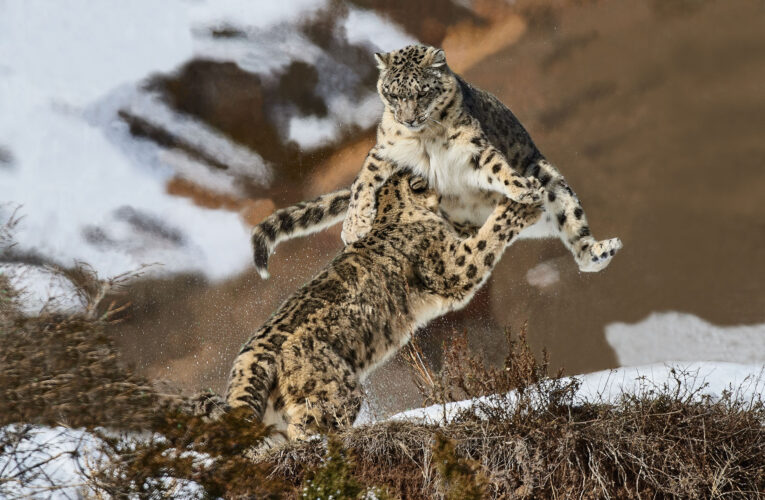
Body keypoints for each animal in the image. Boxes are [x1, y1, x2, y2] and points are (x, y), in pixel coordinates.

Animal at [224, 169, 540, 442]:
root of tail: (252, 353)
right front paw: (520, 208)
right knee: (306, 429)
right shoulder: (450, 266)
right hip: (335, 392)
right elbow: (485, 240)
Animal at [251, 43, 620, 280]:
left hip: (553, 182)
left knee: (576, 237)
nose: (408, 118)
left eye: (421, 92)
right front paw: (355, 225)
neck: (423, 138)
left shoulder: (473, 148)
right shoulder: (384, 152)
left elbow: (497, 167)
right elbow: (363, 182)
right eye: (393, 93)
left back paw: (599, 250)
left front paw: (521, 188)